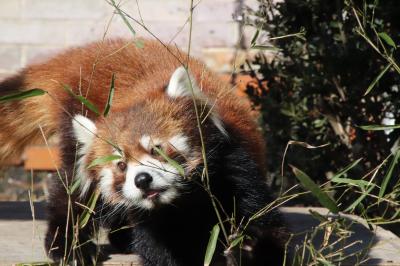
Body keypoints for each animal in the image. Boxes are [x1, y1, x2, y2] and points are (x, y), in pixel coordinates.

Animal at [0, 38, 288, 264]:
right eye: (121, 165)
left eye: (157, 149)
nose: (142, 179)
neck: (183, 201)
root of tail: (85, 52)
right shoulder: (151, 219)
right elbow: (158, 250)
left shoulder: (237, 169)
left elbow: (262, 221)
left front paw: (248, 250)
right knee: (74, 191)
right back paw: (69, 247)